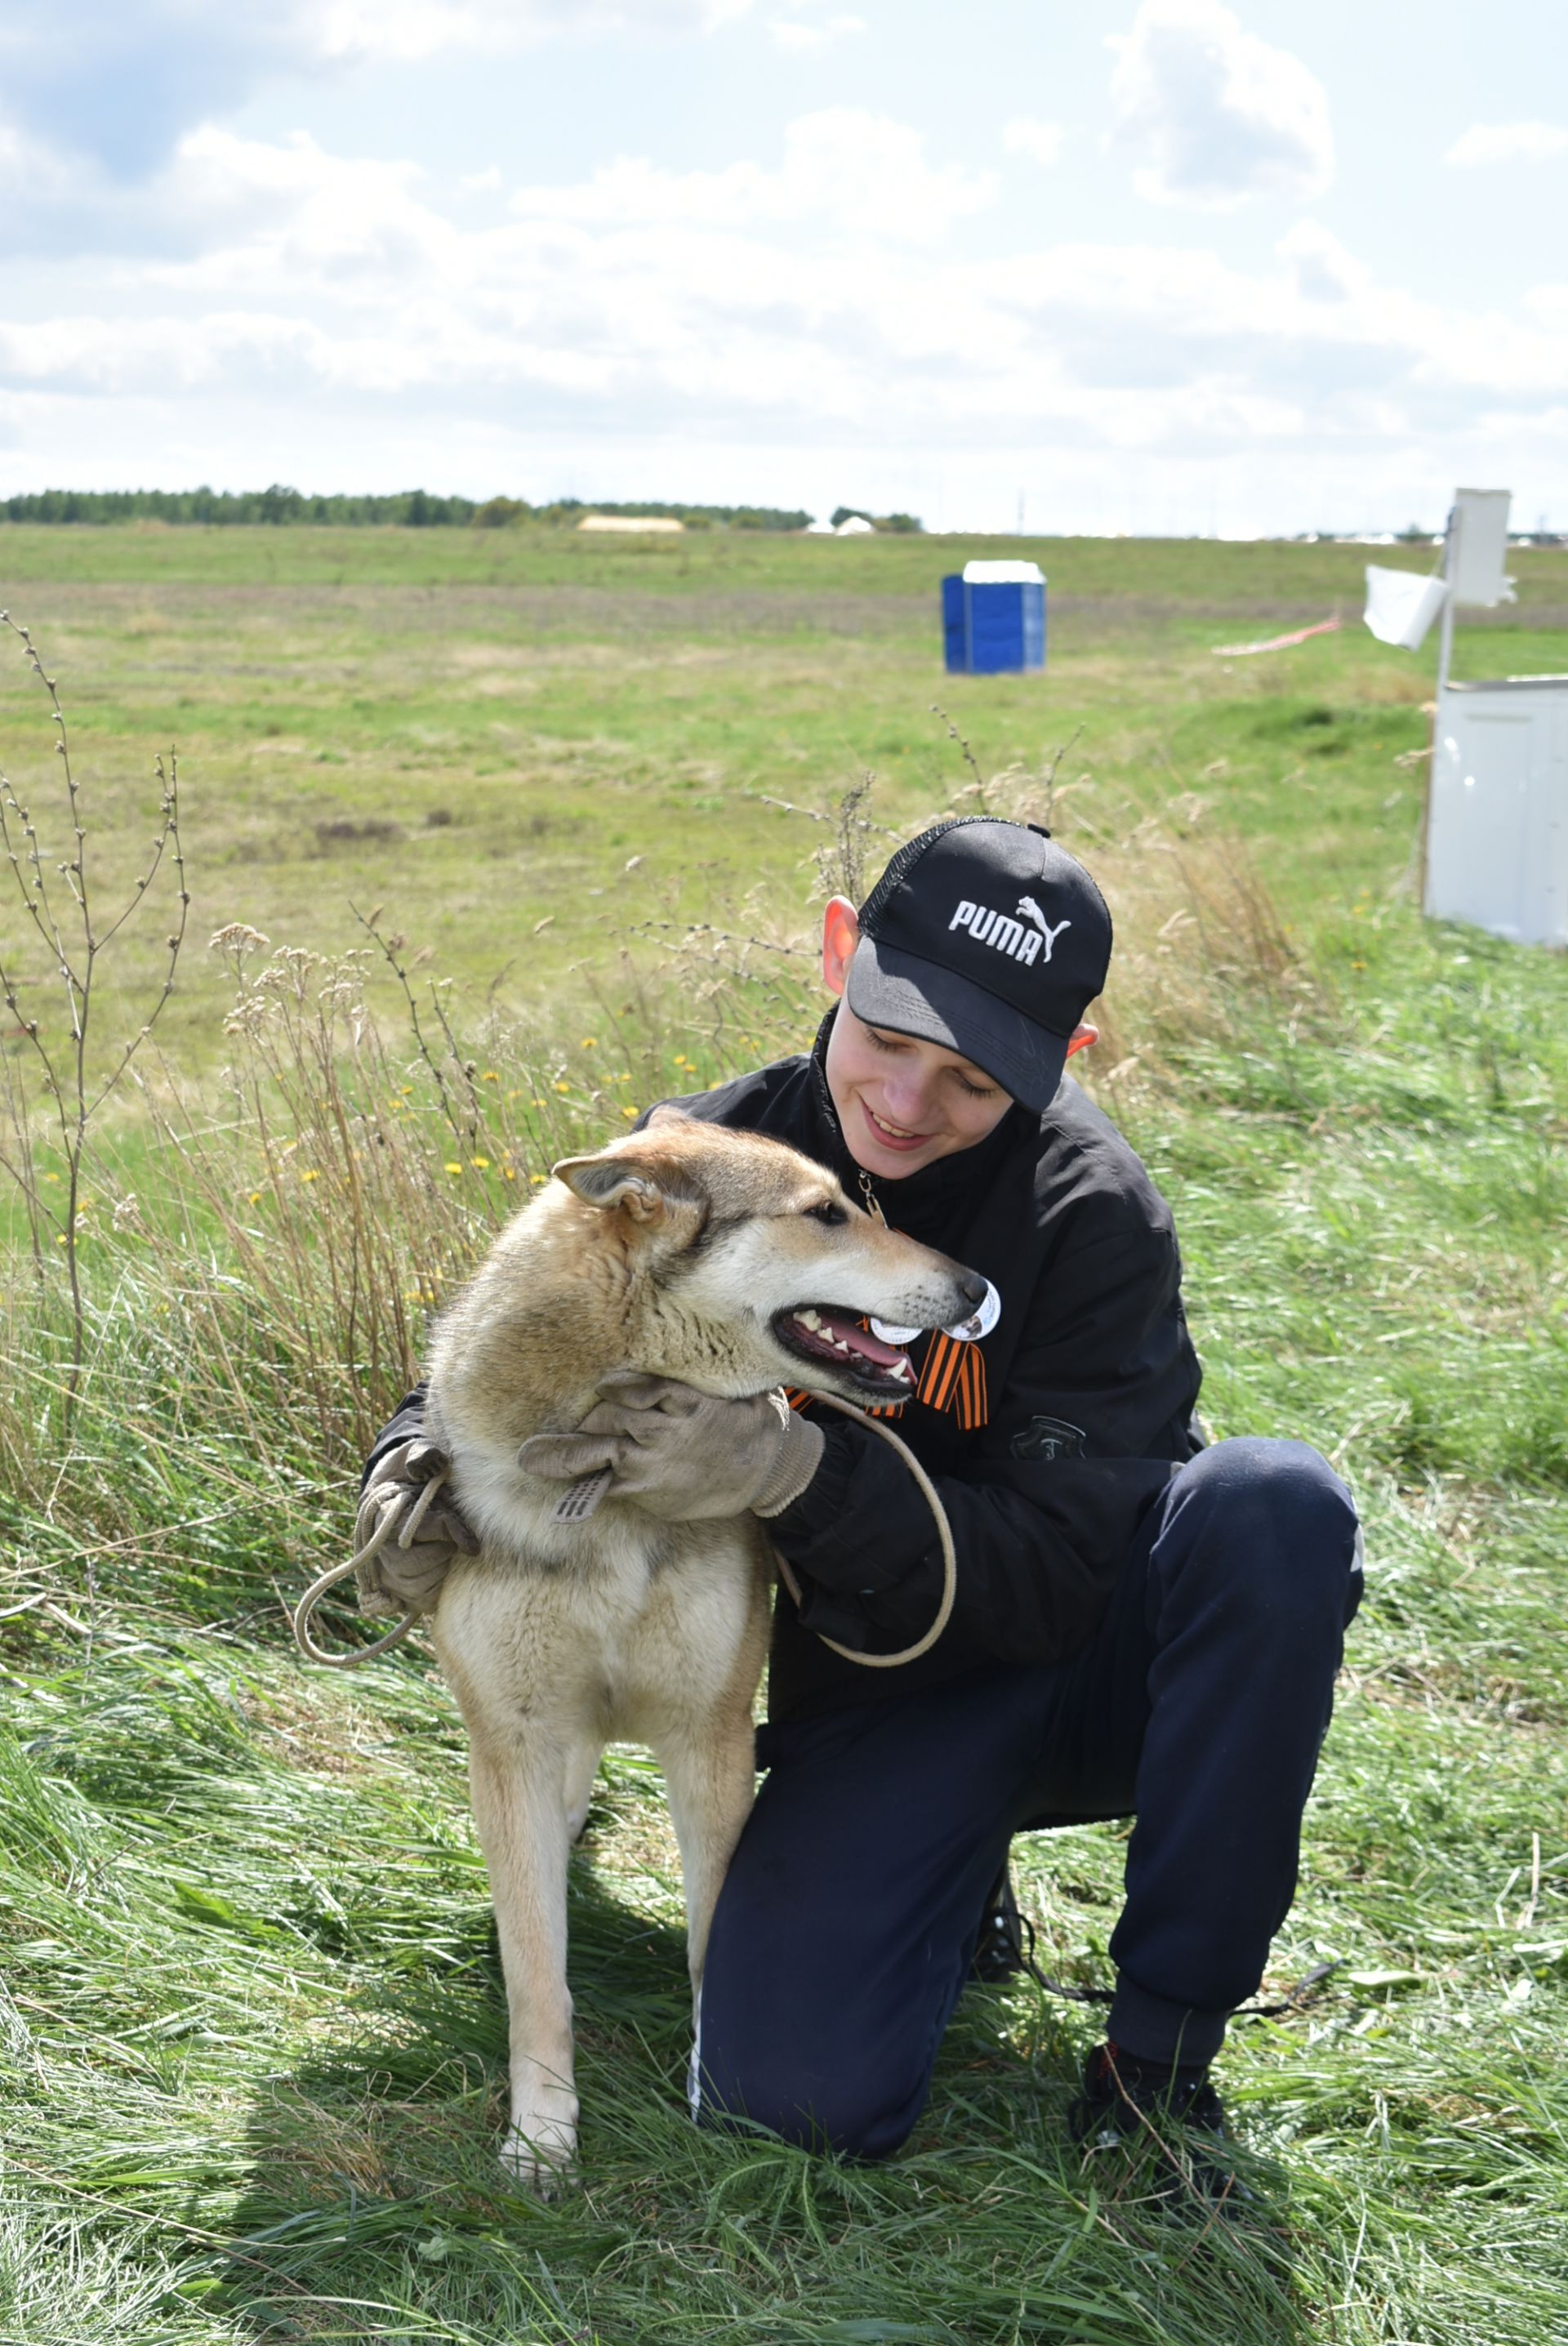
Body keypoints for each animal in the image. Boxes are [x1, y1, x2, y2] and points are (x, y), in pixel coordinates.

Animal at [414, 1112, 979, 2177]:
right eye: (825, 1214)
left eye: (850, 1202)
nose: (974, 1288)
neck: (612, 1486)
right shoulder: (513, 1739)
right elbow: (537, 1977)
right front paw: (541, 2137)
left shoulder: (709, 1739)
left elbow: (716, 1933)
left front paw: (714, 2097)